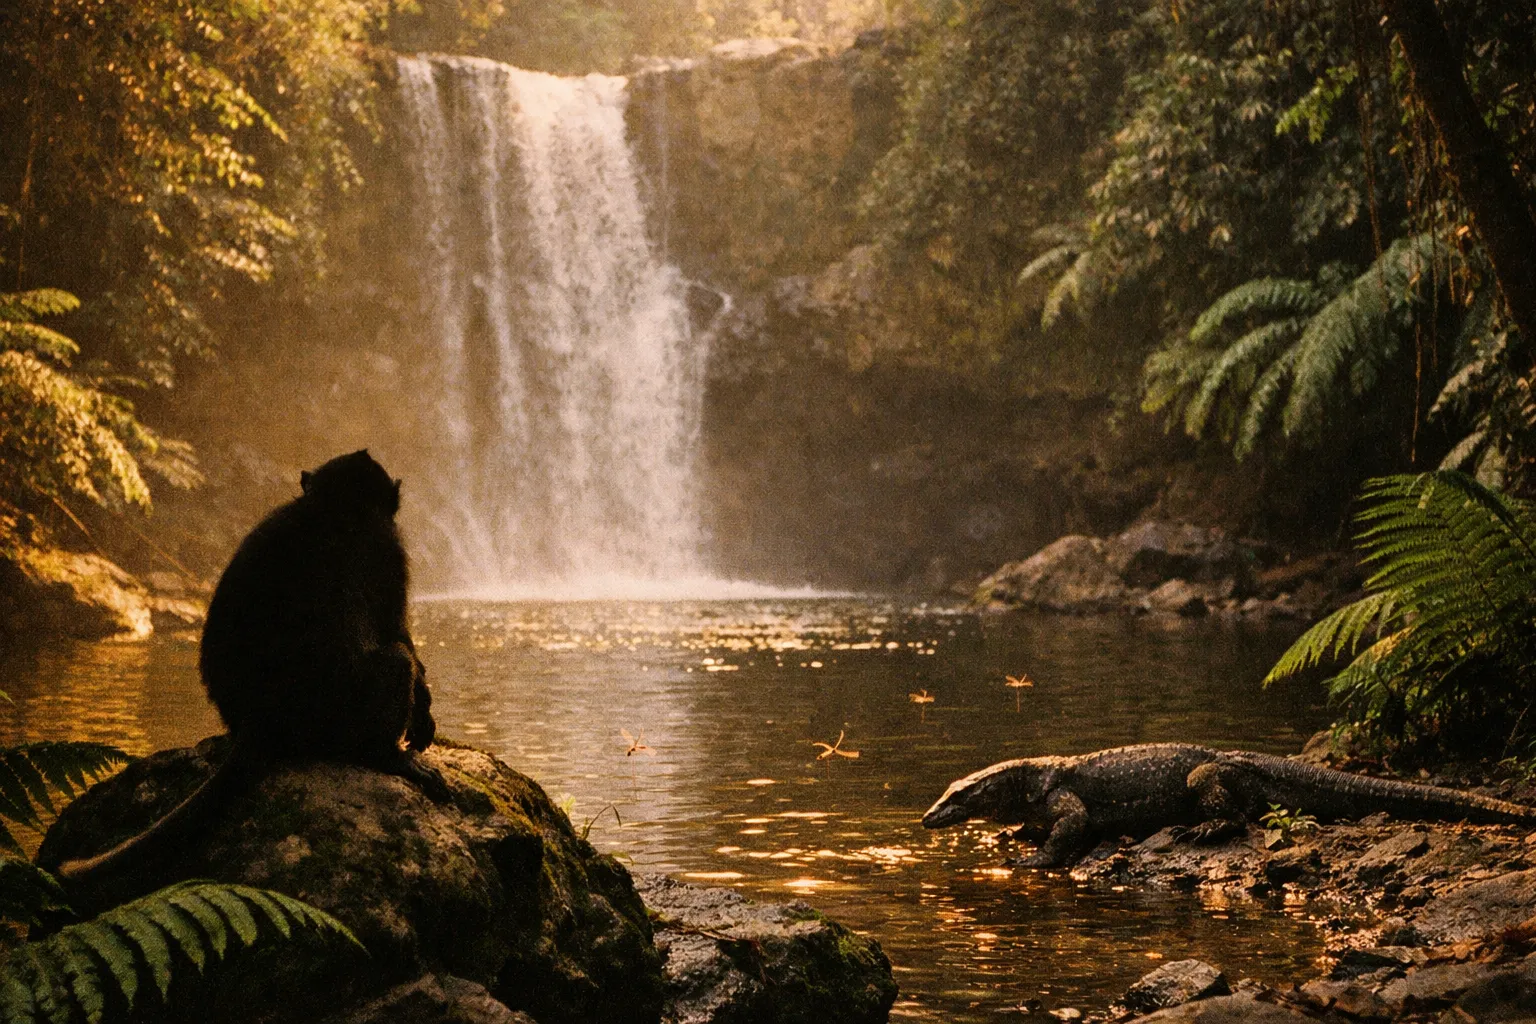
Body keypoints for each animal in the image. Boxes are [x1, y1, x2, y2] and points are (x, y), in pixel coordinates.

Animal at [48, 450, 445, 891]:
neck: (334, 509)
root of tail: (259, 724)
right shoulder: (390, 550)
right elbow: (397, 632)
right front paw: (421, 705)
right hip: (327, 724)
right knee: (395, 660)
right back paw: (385, 755)